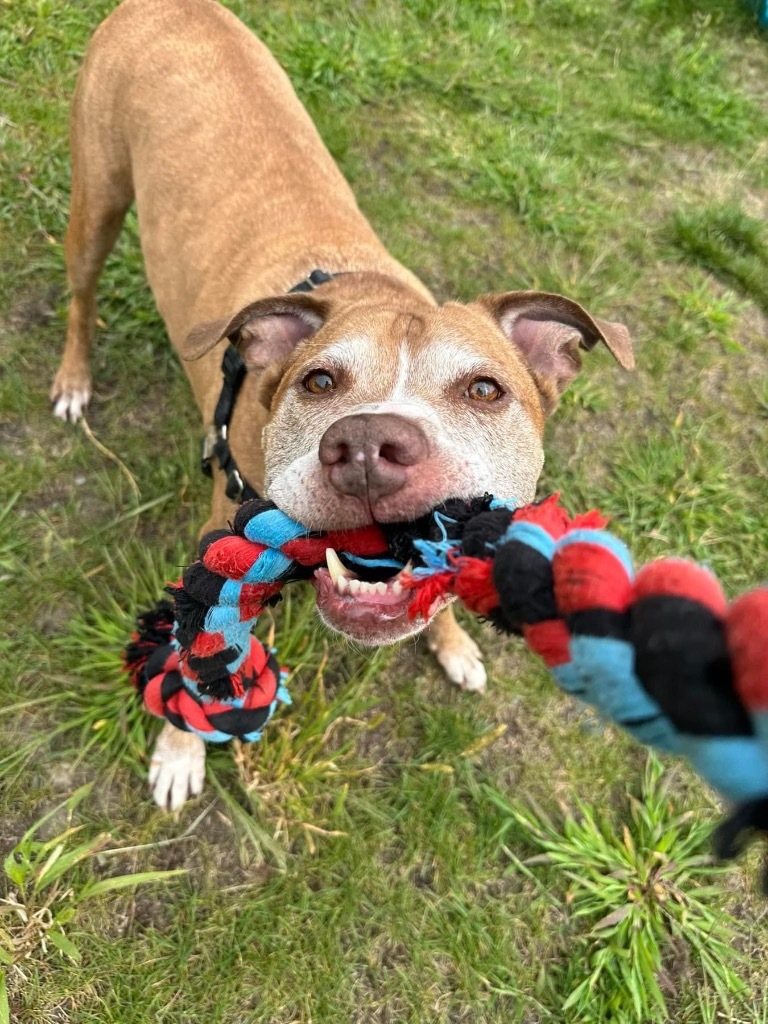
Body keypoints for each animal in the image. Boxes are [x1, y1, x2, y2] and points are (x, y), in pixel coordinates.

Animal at [51, 0, 634, 811]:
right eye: (319, 383)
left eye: (485, 390)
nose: (366, 447)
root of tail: (170, 5)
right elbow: (198, 647)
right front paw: (179, 749)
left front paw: (454, 646)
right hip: (97, 203)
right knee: (80, 298)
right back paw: (74, 379)